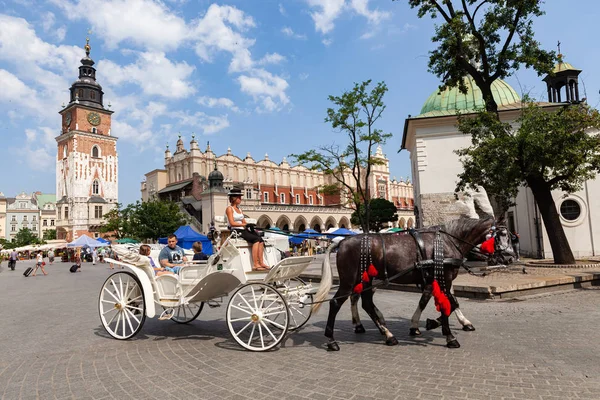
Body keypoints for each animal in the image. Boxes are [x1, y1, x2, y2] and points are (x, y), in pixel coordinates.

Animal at [312, 217, 494, 352]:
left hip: (366, 280)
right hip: (350, 281)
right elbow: (447, 303)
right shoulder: (442, 279)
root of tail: (342, 242)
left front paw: (431, 324)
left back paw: (386, 333)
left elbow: (446, 302)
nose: (501, 258)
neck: (446, 241)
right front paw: (448, 335)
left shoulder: (437, 280)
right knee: (338, 302)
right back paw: (332, 340)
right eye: (499, 234)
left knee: (365, 302)